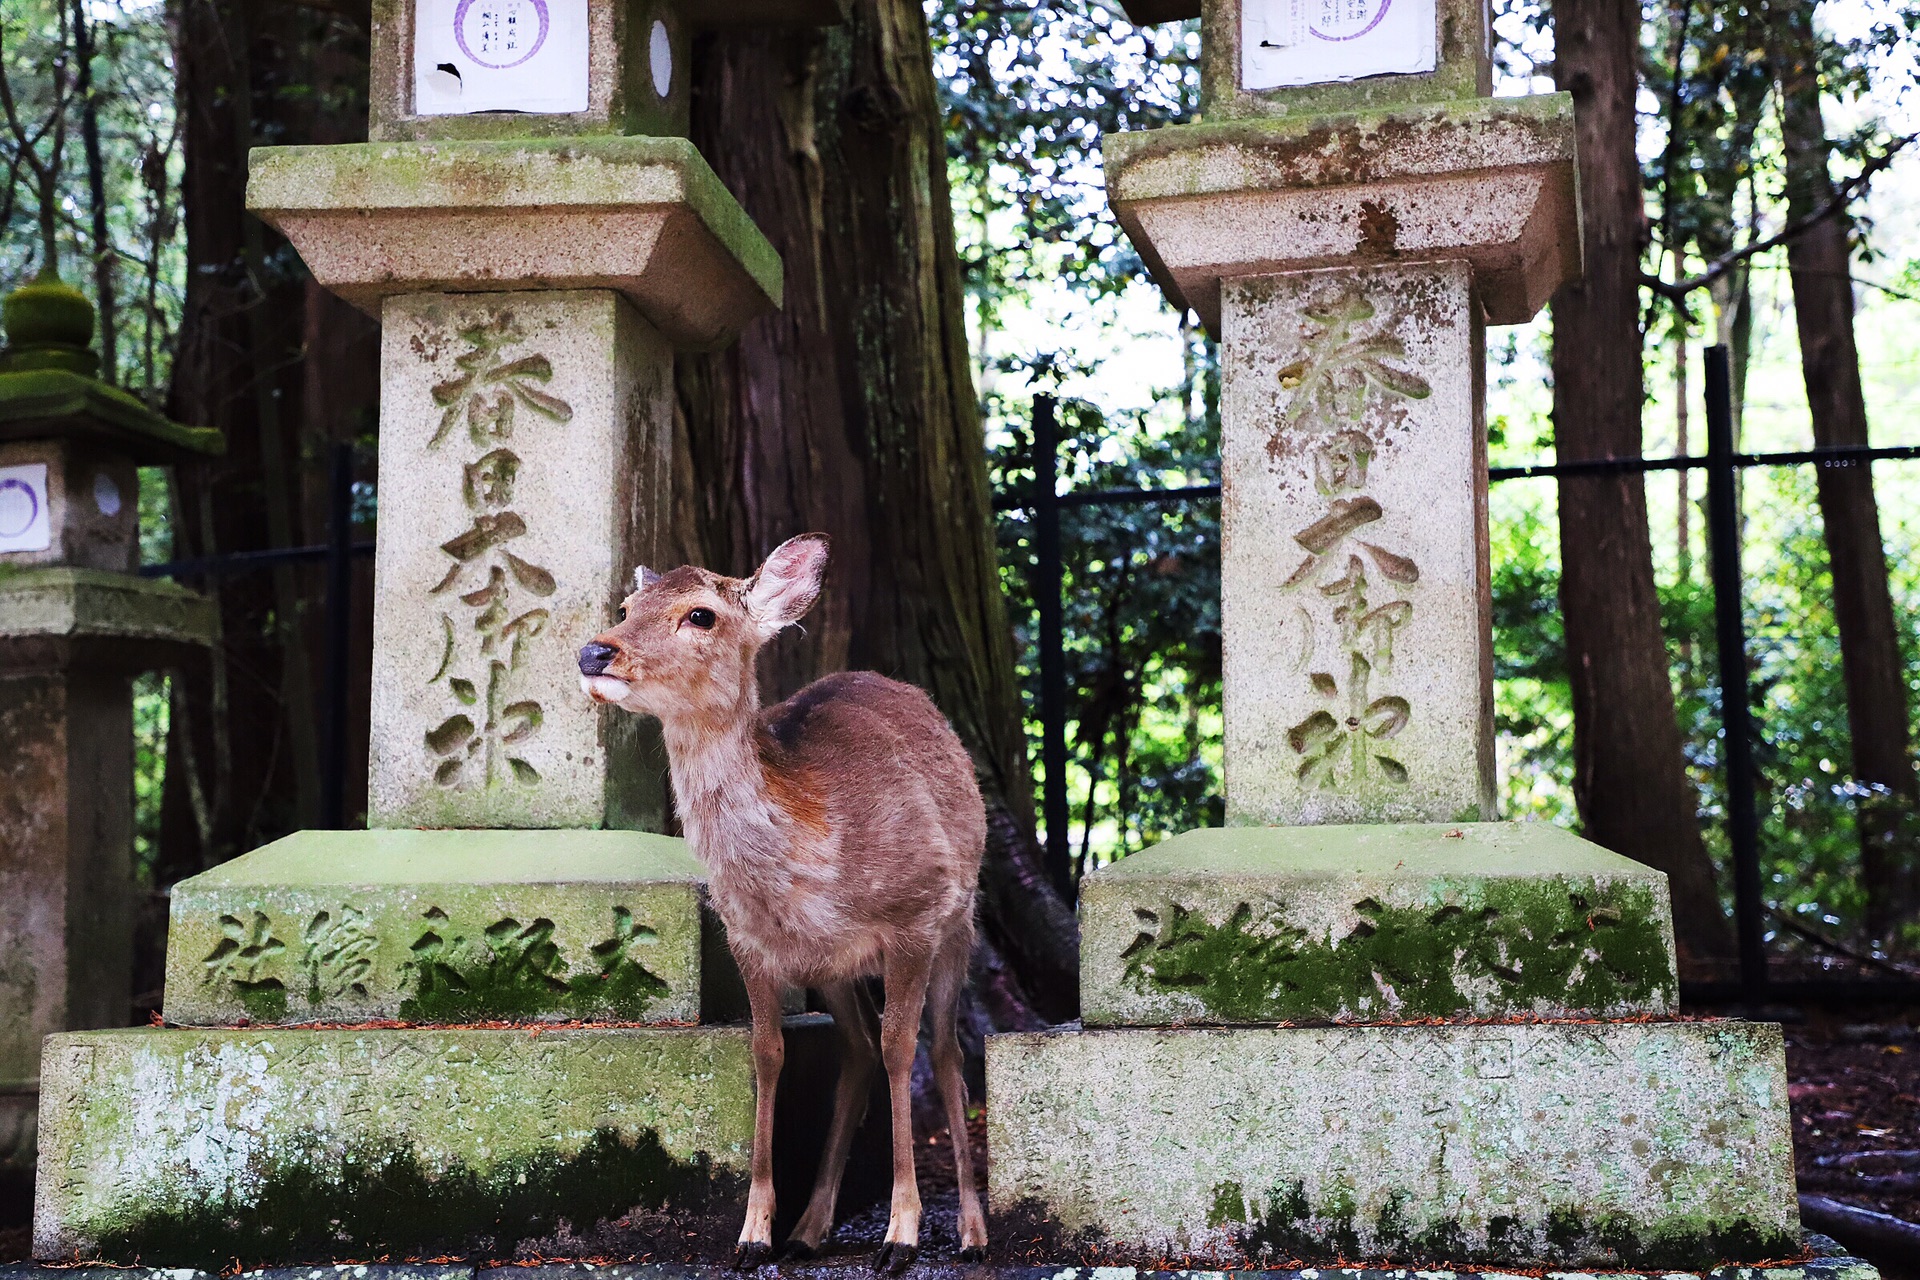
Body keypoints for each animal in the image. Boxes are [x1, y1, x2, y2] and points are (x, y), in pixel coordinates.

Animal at [572, 533, 990, 1274]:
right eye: (625, 607)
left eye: (701, 614)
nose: (596, 652)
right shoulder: (749, 940)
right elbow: (768, 1053)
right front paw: (753, 1233)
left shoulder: (914, 916)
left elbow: (902, 1049)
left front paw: (901, 1235)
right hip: (835, 969)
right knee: (856, 1049)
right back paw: (809, 1228)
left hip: (960, 923)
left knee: (942, 1050)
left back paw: (970, 1233)